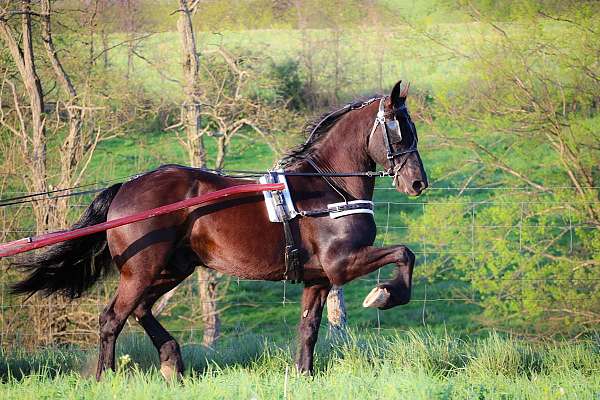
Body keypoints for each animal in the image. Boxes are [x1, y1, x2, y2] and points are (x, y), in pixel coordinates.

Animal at [12, 79, 426, 380]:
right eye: (398, 130)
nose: (418, 183)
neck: (328, 186)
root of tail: (127, 187)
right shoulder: (342, 264)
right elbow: (404, 253)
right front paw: (385, 294)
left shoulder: (318, 278)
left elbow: (308, 329)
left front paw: (304, 375)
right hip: (141, 270)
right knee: (112, 318)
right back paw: (107, 377)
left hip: (172, 268)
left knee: (141, 309)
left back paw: (171, 360)